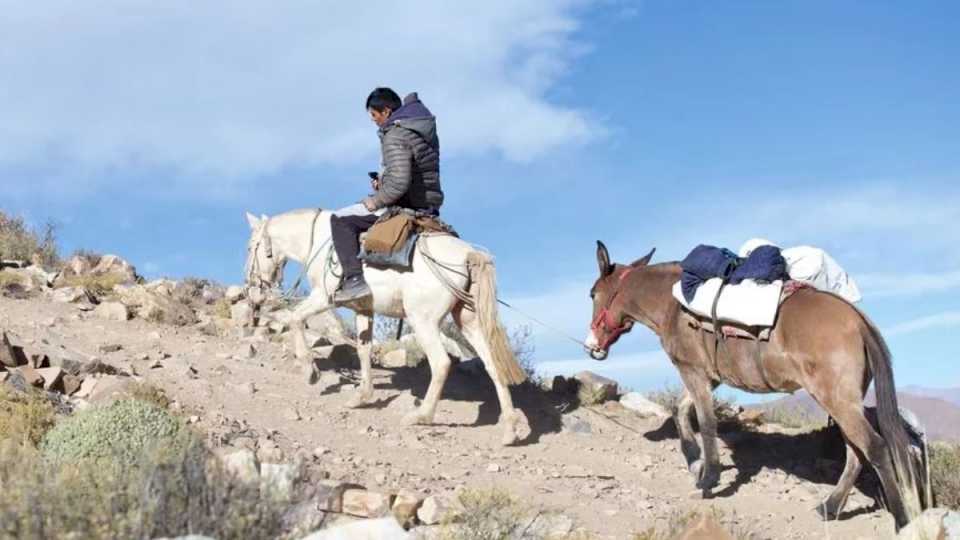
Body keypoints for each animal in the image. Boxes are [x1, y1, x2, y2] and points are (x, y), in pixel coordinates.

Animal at [244, 209, 528, 446]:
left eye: (249, 247)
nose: (251, 286)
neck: (317, 239)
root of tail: (468, 255)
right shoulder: (363, 309)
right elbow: (363, 350)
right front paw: (362, 396)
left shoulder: (323, 297)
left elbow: (294, 318)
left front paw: (310, 371)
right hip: (467, 321)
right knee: (493, 366)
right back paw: (510, 430)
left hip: (423, 320)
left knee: (441, 363)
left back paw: (421, 416)